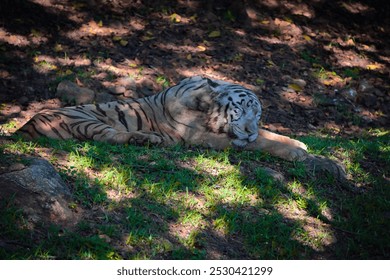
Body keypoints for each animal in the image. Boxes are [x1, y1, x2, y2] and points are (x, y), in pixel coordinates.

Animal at [16, 75, 308, 161]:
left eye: (257, 114)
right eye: (241, 109)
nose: (249, 130)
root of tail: (25, 125)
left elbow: (269, 134)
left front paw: (299, 143)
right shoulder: (202, 136)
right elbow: (261, 143)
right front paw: (297, 153)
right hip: (84, 118)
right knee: (112, 136)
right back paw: (149, 139)